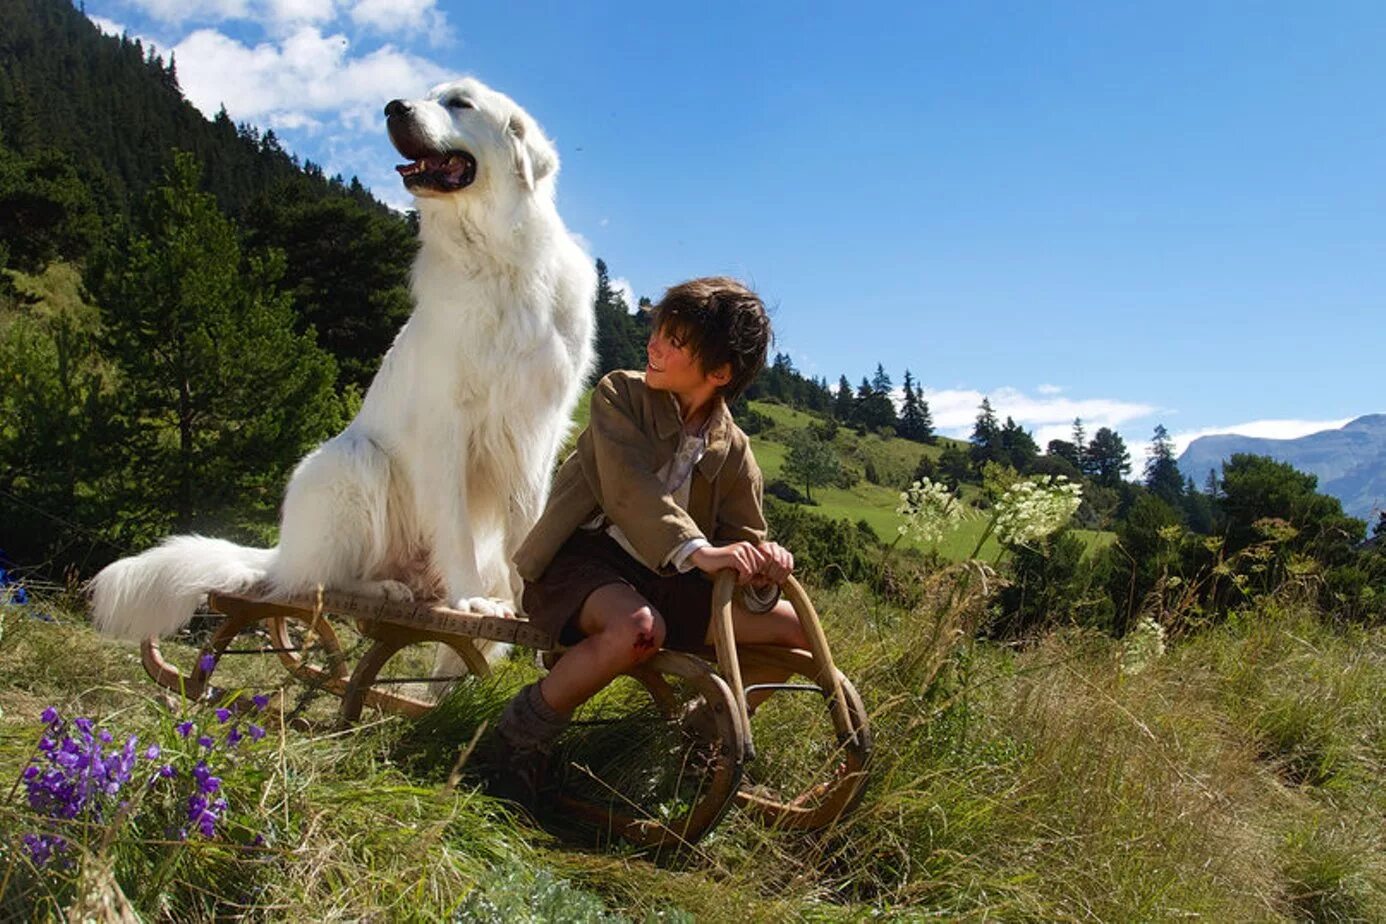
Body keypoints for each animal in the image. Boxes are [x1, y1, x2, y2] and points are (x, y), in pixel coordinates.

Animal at [90, 77, 590, 642]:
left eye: (460, 103)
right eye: (428, 96)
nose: (394, 107)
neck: (499, 261)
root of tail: (279, 553)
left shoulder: (537, 431)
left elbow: (530, 529)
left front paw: (530, 603)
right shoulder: (446, 426)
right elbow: (455, 526)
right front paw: (472, 601)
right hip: (353, 461)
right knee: (320, 580)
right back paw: (386, 588)